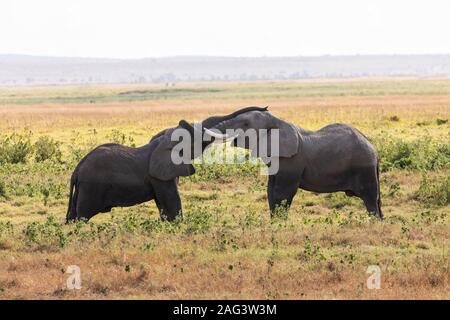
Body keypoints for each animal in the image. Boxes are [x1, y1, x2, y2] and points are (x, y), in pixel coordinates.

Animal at [64, 106, 266, 221]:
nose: (264, 108)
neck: (162, 142)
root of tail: (76, 170)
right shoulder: (160, 176)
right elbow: (172, 204)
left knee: (73, 215)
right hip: (91, 187)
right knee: (82, 215)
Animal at [200, 106, 384, 219]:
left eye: (245, 124)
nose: (265, 106)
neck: (278, 122)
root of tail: (374, 150)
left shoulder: (291, 161)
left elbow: (282, 192)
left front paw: (280, 224)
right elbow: (271, 191)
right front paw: (274, 223)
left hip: (364, 167)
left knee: (370, 197)